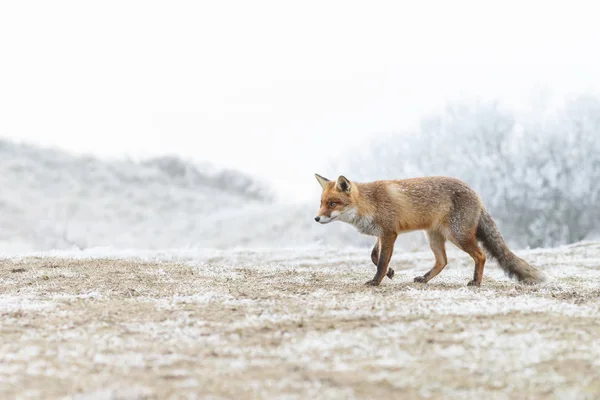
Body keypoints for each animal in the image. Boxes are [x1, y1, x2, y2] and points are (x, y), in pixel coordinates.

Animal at [316, 173, 548, 286]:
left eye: (333, 203)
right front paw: (391, 273)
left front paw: (376, 281)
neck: (369, 203)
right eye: (321, 203)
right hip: (434, 237)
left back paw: (476, 282)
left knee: (481, 256)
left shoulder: (390, 233)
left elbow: (381, 261)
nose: (316, 218)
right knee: (442, 261)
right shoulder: (381, 234)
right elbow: (374, 256)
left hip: (458, 236)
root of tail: (476, 194)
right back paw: (425, 279)